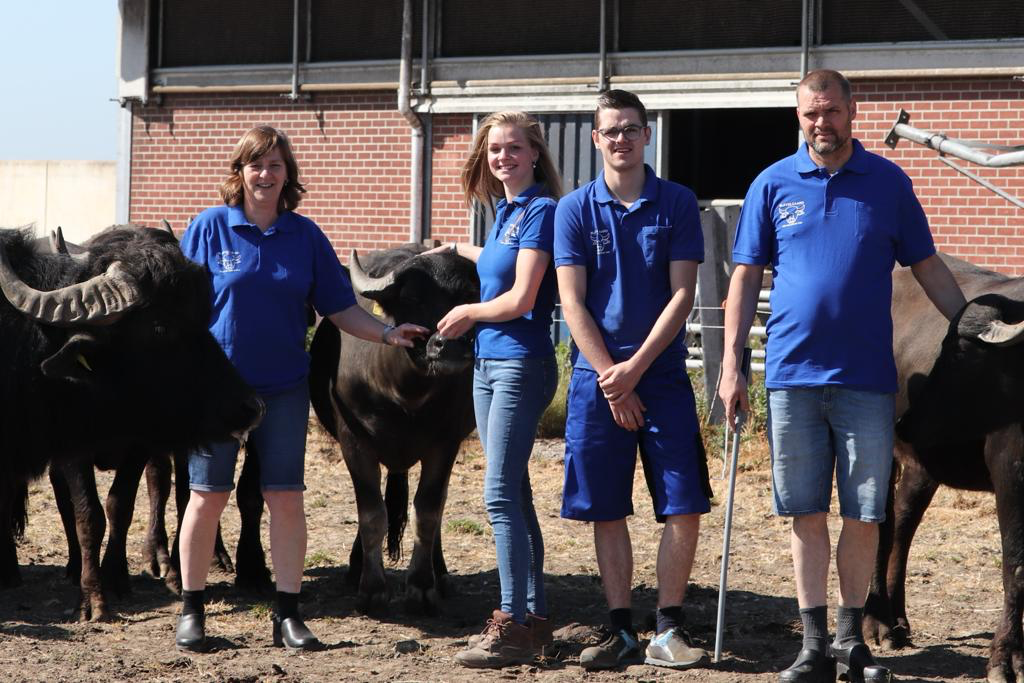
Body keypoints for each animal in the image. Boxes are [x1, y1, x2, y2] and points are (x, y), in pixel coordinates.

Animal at [1, 227, 264, 618]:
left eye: (203, 317)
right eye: (159, 327)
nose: (251, 407)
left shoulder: (139, 443)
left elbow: (119, 505)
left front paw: (115, 578)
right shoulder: (71, 448)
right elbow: (87, 513)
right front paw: (93, 599)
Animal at [307, 245, 479, 614]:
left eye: (470, 296)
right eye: (412, 297)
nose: (451, 345)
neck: (404, 393)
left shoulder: (445, 443)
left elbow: (427, 510)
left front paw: (422, 585)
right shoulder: (354, 443)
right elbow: (372, 514)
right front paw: (372, 588)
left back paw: (441, 573)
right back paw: (356, 567)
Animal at [868, 254, 1024, 683]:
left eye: (961, 353)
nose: (906, 422)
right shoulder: (1010, 472)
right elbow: (1015, 565)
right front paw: (1006, 658)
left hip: (922, 467)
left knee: (903, 525)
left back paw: (898, 621)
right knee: (881, 525)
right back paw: (878, 622)